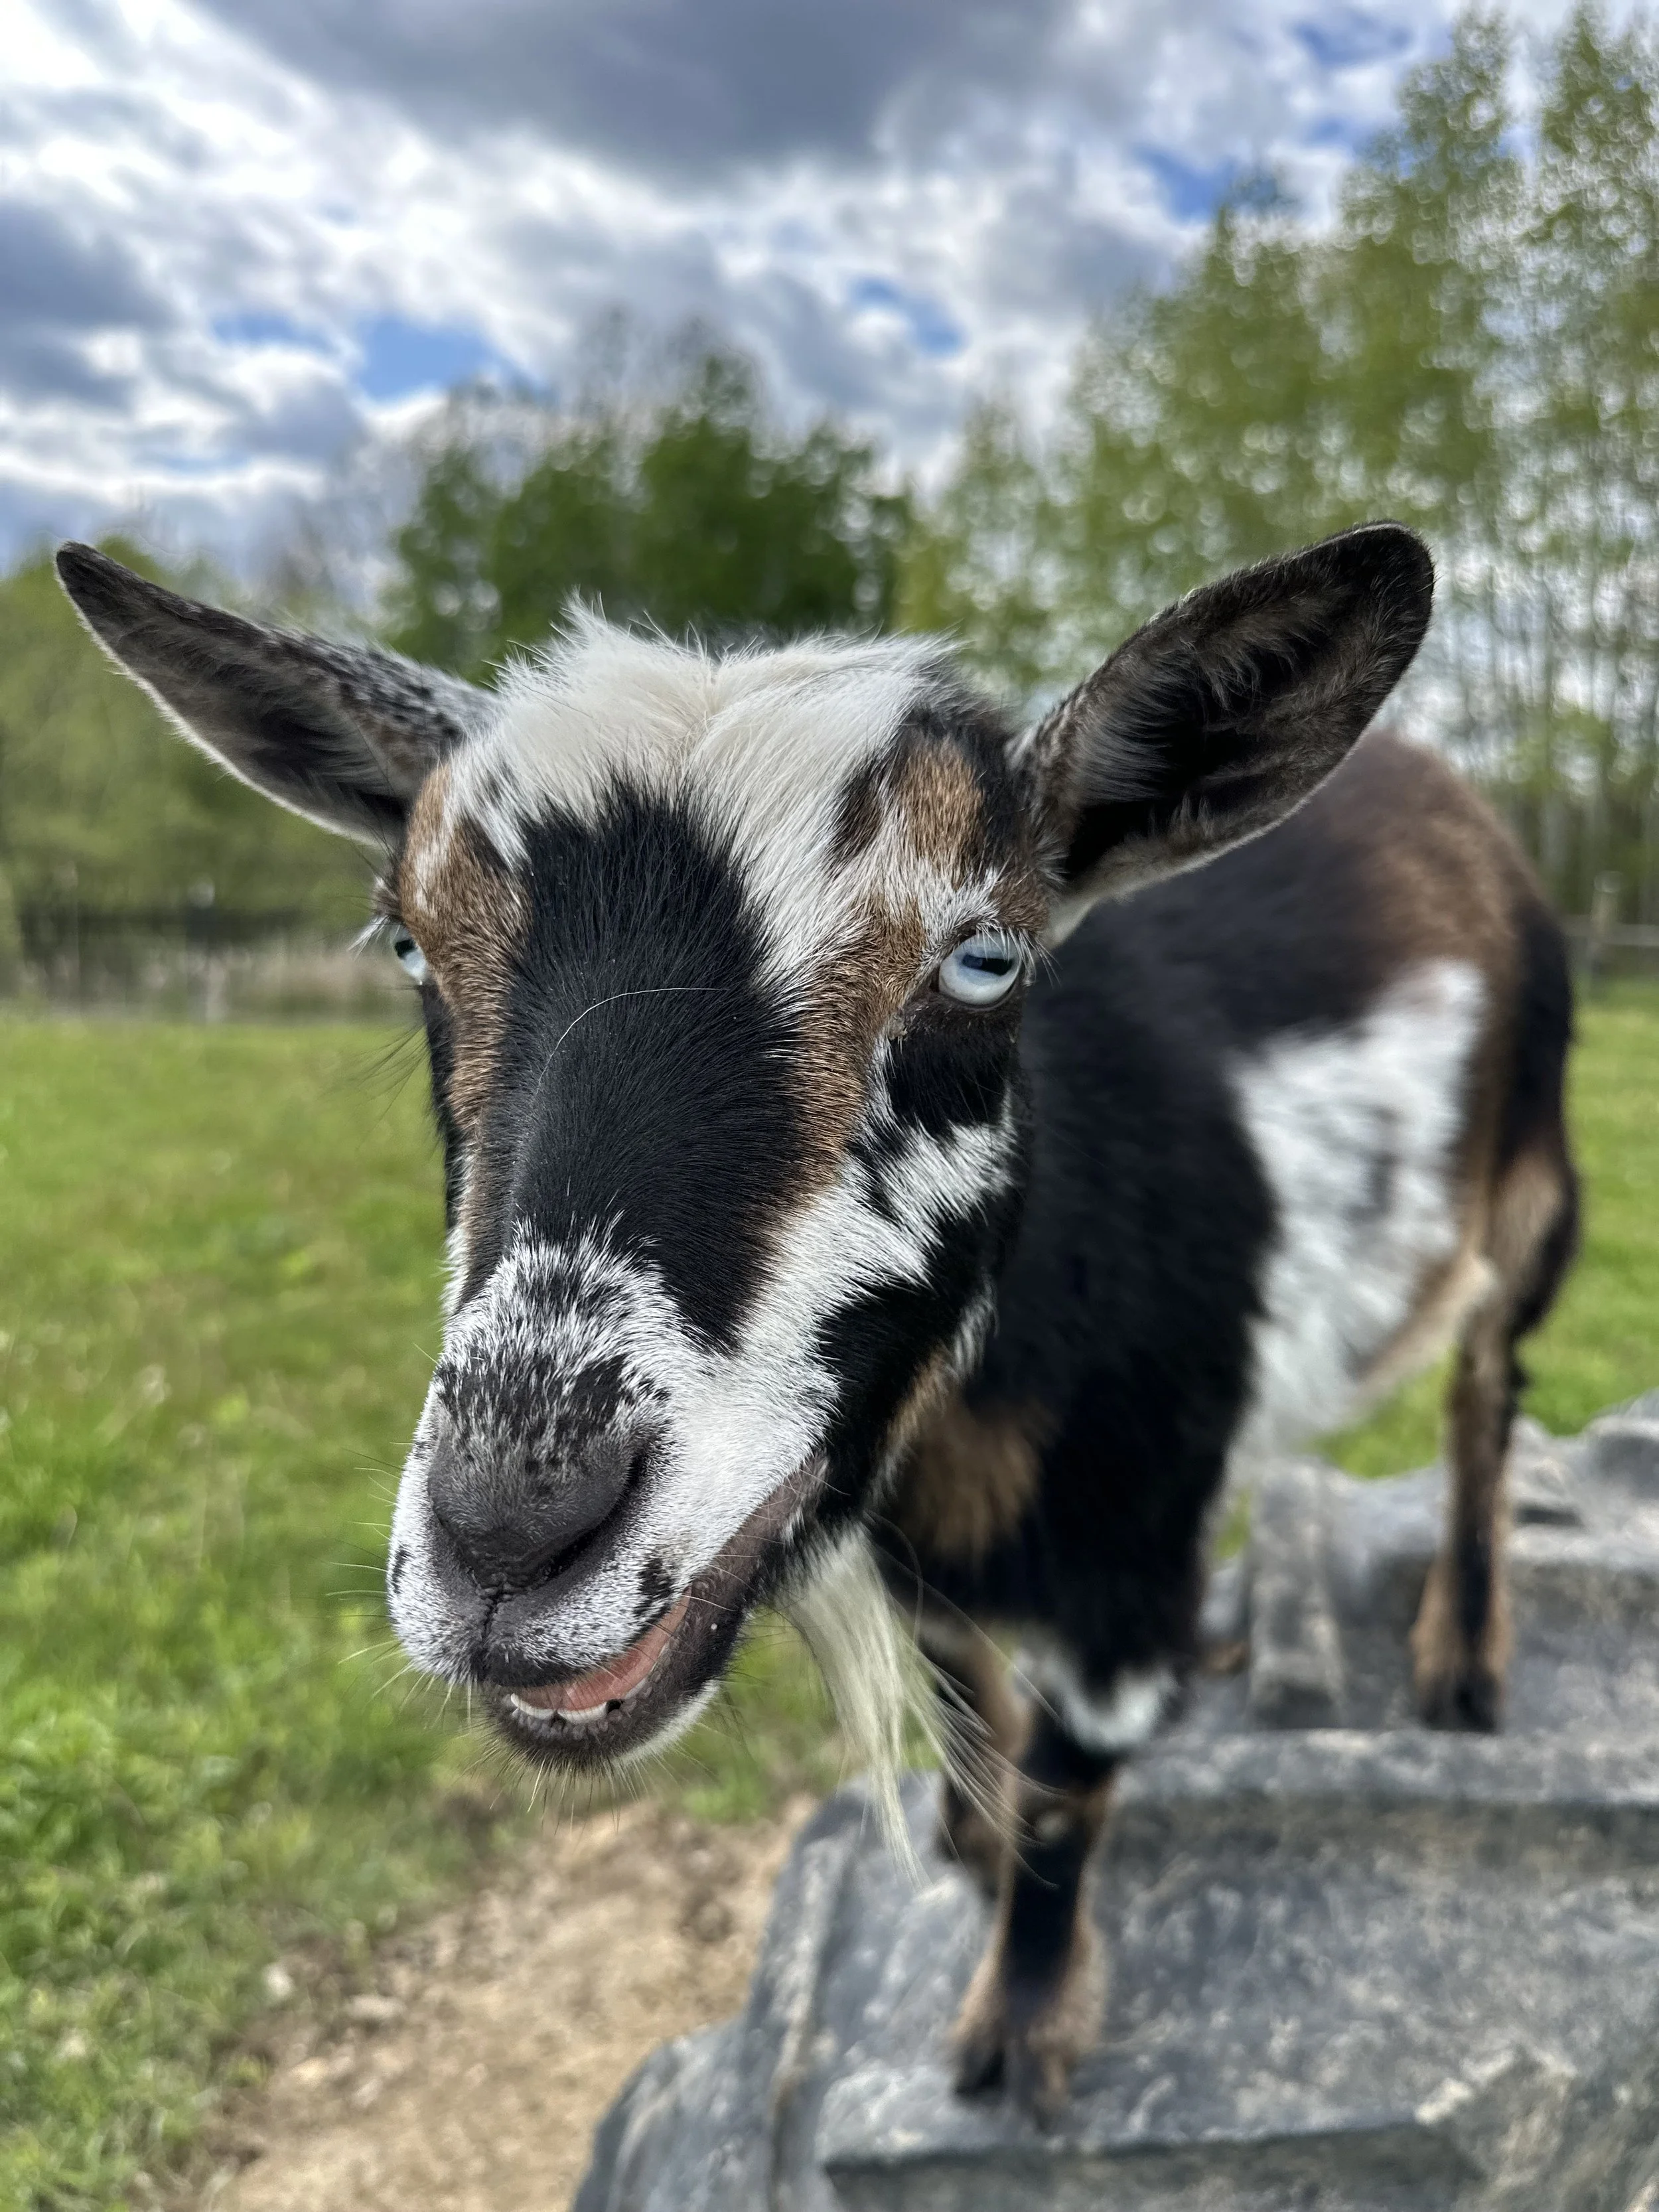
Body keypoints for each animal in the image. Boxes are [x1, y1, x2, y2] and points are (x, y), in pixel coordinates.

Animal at [57, 524, 1577, 2118]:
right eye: (406, 943)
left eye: (985, 959)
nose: (509, 1543)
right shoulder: (926, 1546)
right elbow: (968, 1685)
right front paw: (968, 1842)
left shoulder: (1126, 1559)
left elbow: (1066, 1798)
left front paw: (1018, 2028)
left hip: (1536, 1190)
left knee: (1484, 1398)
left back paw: (1459, 1659)